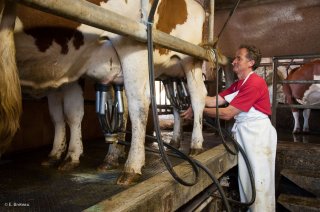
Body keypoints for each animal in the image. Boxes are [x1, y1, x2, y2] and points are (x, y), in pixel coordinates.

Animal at [0, 0, 225, 185]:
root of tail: (200, 8)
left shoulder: (76, 68)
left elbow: (73, 114)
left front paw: (71, 155)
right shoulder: (61, 74)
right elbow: (59, 116)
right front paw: (58, 153)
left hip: (168, 54)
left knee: (175, 100)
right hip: (168, 73)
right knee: (173, 105)